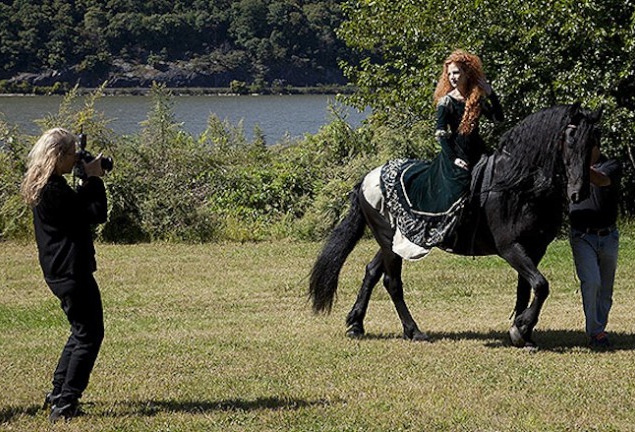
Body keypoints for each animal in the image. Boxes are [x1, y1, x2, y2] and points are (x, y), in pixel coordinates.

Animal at [309, 103, 602, 349]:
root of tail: (367, 178)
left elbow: (527, 288)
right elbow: (541, 285)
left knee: (371, 271)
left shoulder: (535, 249)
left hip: (394, 242)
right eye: (571, 137)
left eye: (593, 142)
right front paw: (521, 328)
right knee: (392, 282)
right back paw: (413, 331)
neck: (519, 186)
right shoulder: (510, 248)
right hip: (389, 240)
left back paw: (356, 324)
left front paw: (523, 333)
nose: (579, 193)